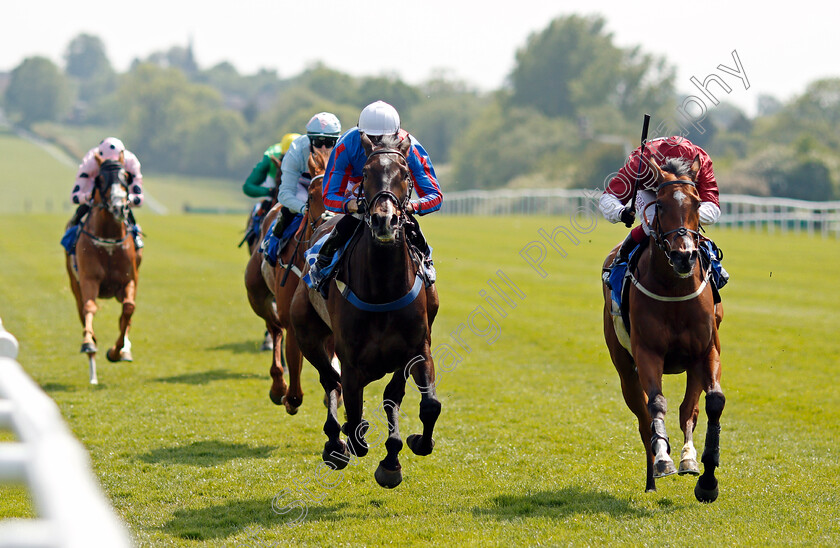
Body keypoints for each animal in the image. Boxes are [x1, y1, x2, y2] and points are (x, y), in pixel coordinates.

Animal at [65, 156, 139, 384]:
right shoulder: (89, 279)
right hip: (75, 285)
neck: (108, 241)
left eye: (126, 177)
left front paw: (117, 351)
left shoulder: (129, 280)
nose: (118, 207)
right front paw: (89, 342)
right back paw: (92, 367)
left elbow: (128, 309)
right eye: (101, 179)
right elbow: (89, 308)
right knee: (83, 311)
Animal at [243, 148, 332, 414]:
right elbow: (295, 378)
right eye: (312, 195)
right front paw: (288, 396)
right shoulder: (293, 318)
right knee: (275, 328)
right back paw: (277, 384)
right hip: (257, 295)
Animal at [290, 132, 440, 488]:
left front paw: (407, 448)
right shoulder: (351, 361)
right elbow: (355, 415)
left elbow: (427, 405)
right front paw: (353, 438)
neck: (384, 288)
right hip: (307, 334)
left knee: (386, 394)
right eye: (367, 173)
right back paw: (335, 444)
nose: (386, 219)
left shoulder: (417, 349)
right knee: (330, 382)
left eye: (405, 173)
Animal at [600, 154, 724, 500]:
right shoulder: (647, 353)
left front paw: (706, 479)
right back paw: (653, 474)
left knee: (688, 410)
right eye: (661, 205)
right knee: (644, 420)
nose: (684, 256)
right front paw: (663, 460)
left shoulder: (706, 351)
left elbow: (712, 402)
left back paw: (688, 458)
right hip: (625, 369)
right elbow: (655, 404)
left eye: (696, 203)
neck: (674, 289)